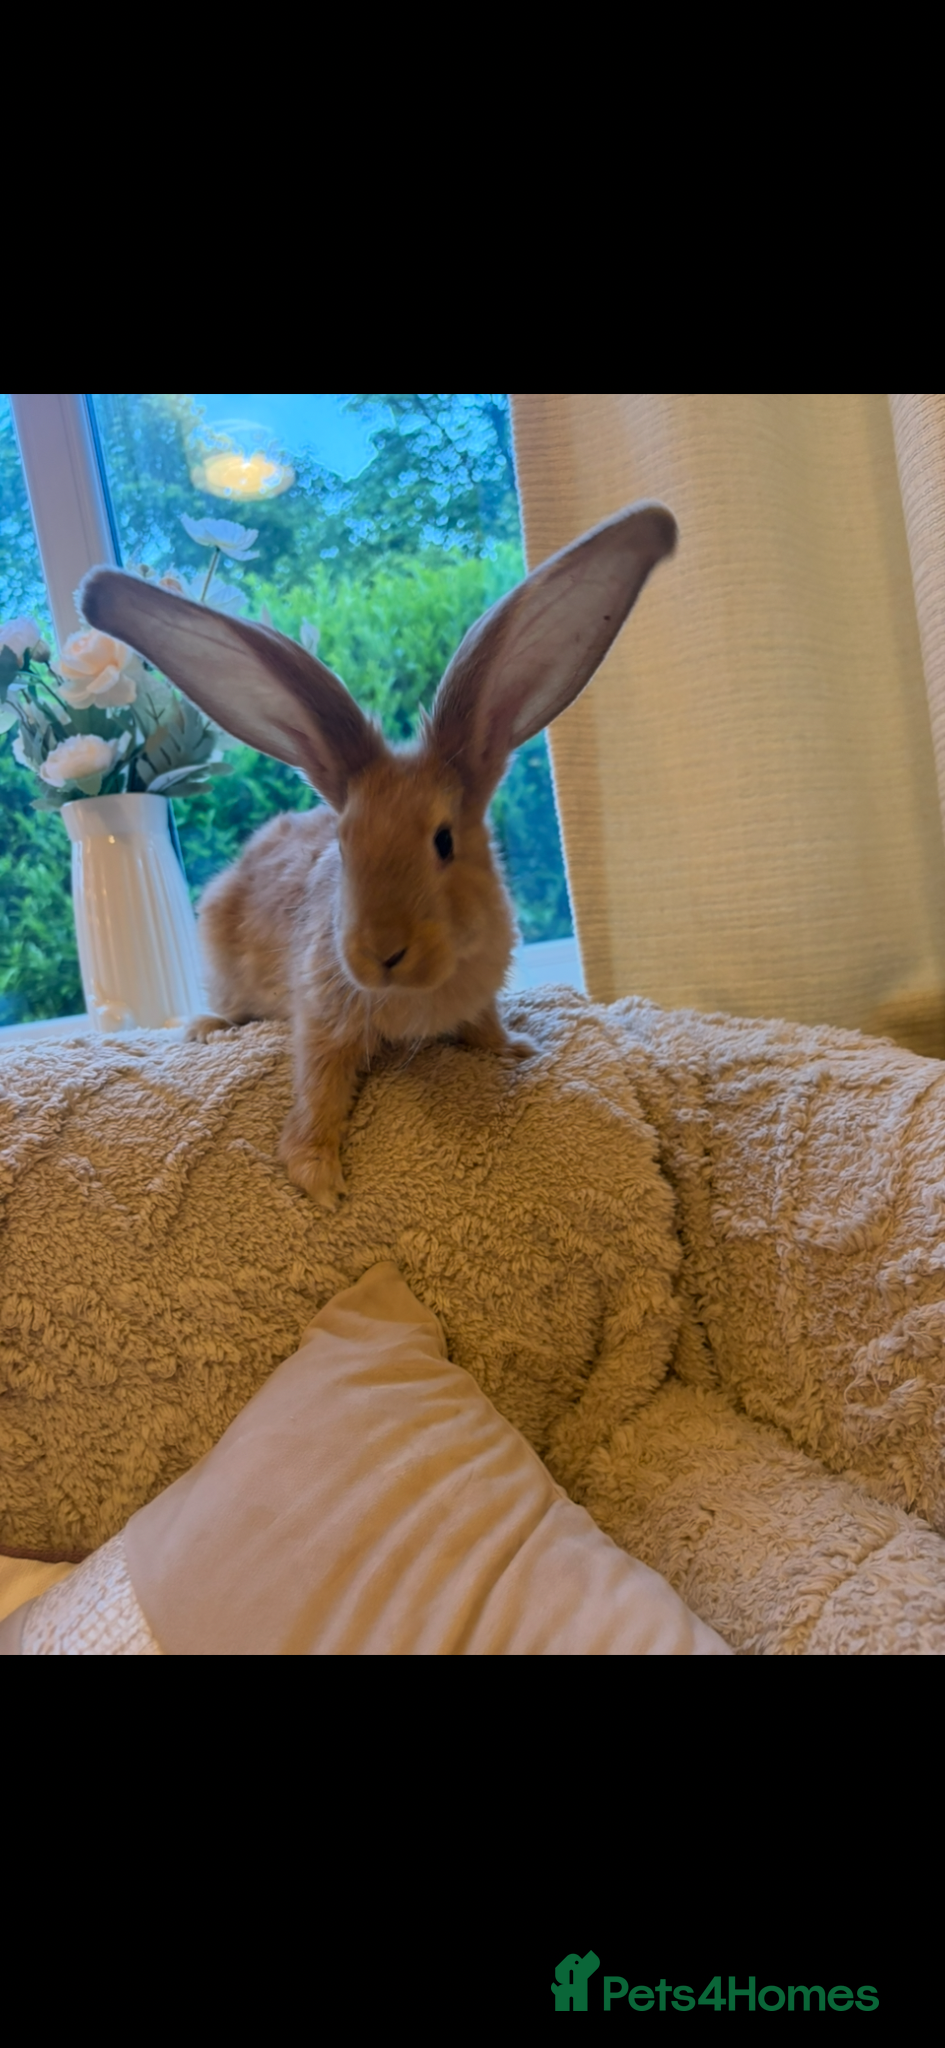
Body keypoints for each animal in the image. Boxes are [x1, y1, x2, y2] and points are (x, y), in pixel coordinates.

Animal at [81, 499, 677, 1209]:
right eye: (344, 844)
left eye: (444, 841)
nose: (381, 952)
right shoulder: (322, 1021)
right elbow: (319, 1088)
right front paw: (317, 1178)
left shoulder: (477, 995)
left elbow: (485, 1026)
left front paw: (517, 1049)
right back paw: (206, 1028)